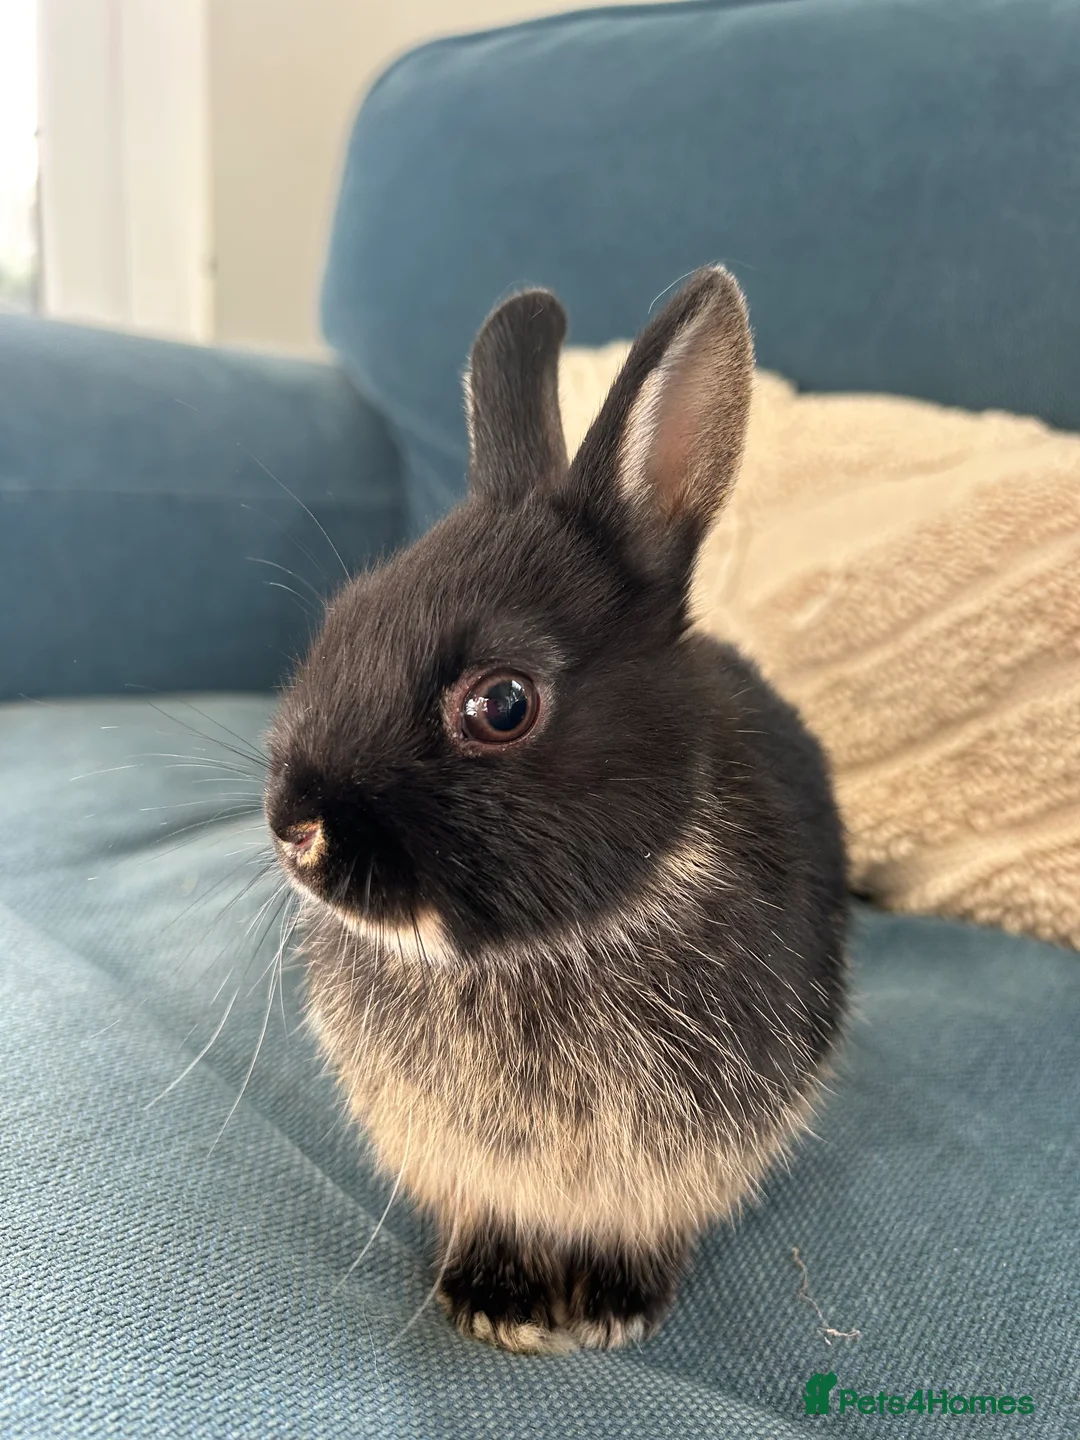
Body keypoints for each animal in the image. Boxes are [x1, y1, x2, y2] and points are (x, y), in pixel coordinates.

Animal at [264, 267, 848, 1354]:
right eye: (341, 626)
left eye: (501, 705)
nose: (295, 831)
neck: (539, 953)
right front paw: (497, 1302)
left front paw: (612, 1308)